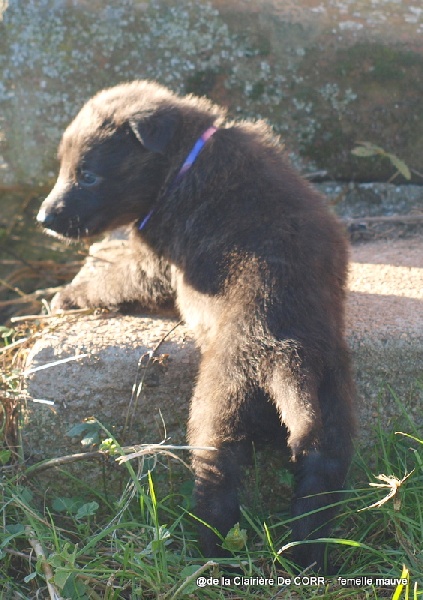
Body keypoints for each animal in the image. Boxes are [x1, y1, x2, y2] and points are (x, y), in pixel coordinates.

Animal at [37, 80, 355, 571]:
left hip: (218, 411)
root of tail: (286, 357)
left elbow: (115, 278)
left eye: (86, 175)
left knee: (216, 483)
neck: (187, 156)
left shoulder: (153, 262)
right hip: (332, 416)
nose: (43, 218)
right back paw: (308, 558)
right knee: (318, 487)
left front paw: (69, 294)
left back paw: (211, 553)